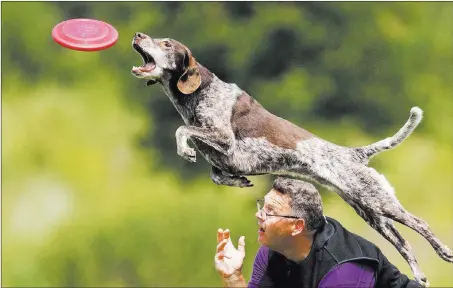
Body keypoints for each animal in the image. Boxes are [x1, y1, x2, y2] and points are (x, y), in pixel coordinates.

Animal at [131, 32, 452, 286]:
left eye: (166, 43)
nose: (137, 35)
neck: (198, 95)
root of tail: (354, 153)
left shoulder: (223, 138)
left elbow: (182, 129)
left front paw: (185, 150)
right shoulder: (220, 157)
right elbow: (215, 172)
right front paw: (237, 181)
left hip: (379, 202)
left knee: (420, 224)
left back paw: (444, 252)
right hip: (370, 212)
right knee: (403, 242)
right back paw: (420, 275)